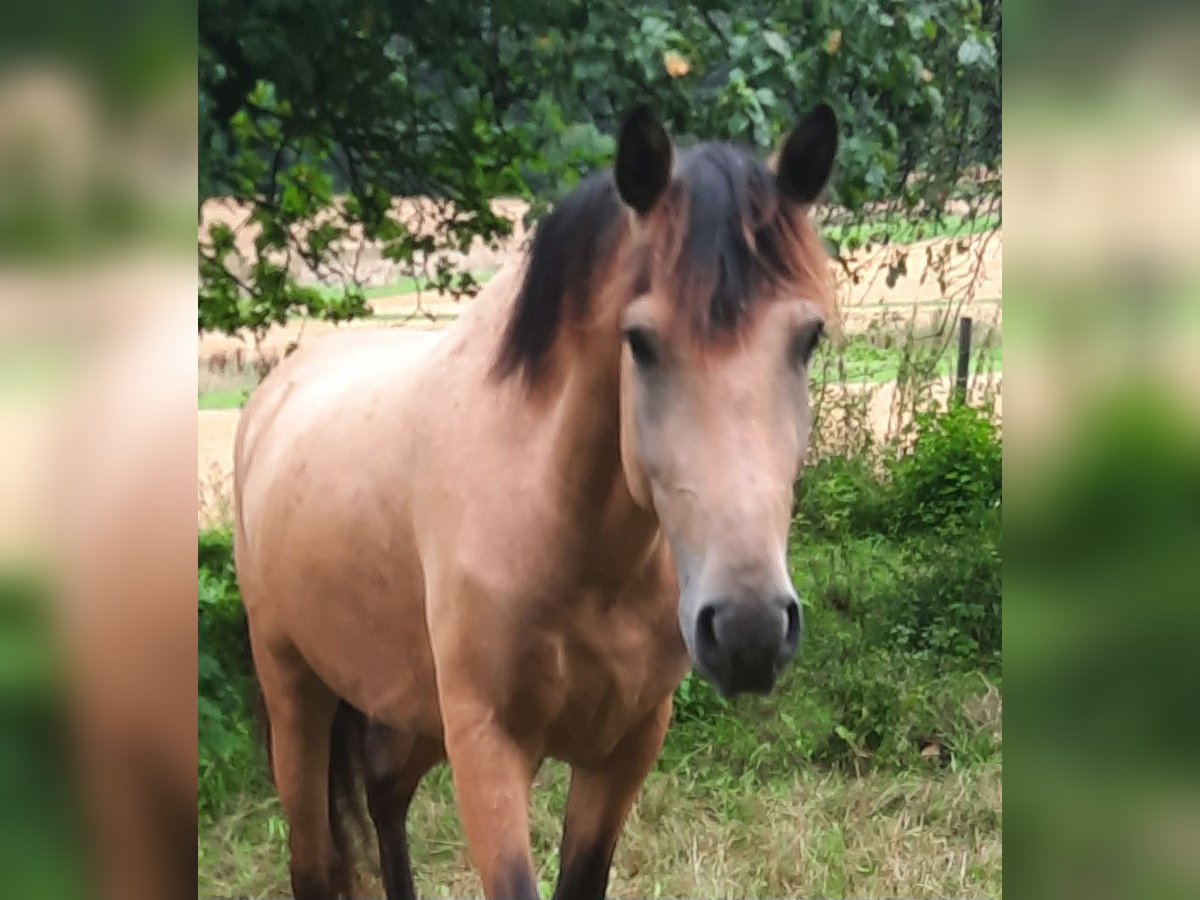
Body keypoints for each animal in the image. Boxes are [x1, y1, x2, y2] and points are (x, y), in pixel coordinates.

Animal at [231, 102, 835, 897]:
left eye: (808, 339)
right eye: (640, 342)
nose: (749, 629)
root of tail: (273, 393)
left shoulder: (626, 747)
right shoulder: (487, 746)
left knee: (386, 789)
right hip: (295, 693)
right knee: (313, 857)